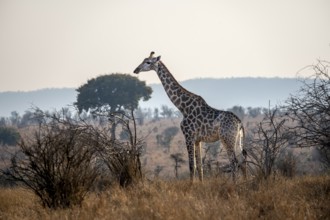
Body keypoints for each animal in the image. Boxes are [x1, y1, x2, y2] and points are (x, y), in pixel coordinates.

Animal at [133, 52, 246, 182]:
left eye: (148, 62)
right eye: (143, 60)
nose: (136, 70)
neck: (182, 107)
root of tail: (239, 123)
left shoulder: (188, 136)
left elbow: (192, 166)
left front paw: (191, 185)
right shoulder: (197, 140)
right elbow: (200, 166)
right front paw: (201, 184)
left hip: (227, 139)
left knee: (234, 162)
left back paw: (235, 183)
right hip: (237, 139)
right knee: (243, 161)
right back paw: (245, 181)